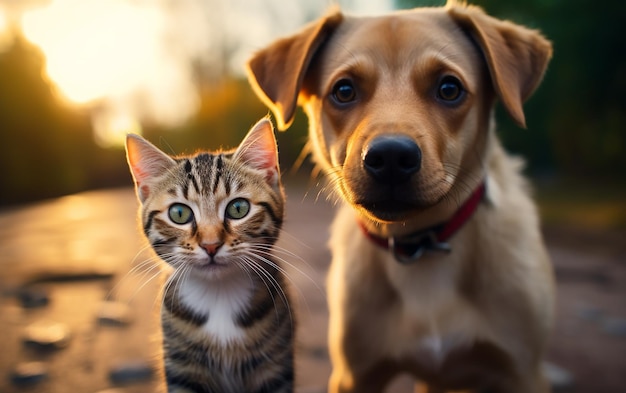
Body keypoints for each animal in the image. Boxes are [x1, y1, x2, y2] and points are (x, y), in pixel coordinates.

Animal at [125, 117, 296, 392]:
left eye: (238, 208)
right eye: (179, 214)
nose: (211, 244)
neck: (219, 295)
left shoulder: (275, 365)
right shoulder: (183, 369)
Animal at [246, 1, 552, 390]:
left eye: (449, 88)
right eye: (343, 91)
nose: (390, 156)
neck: (420, 245)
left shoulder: (522, 372)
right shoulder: (356, 374)